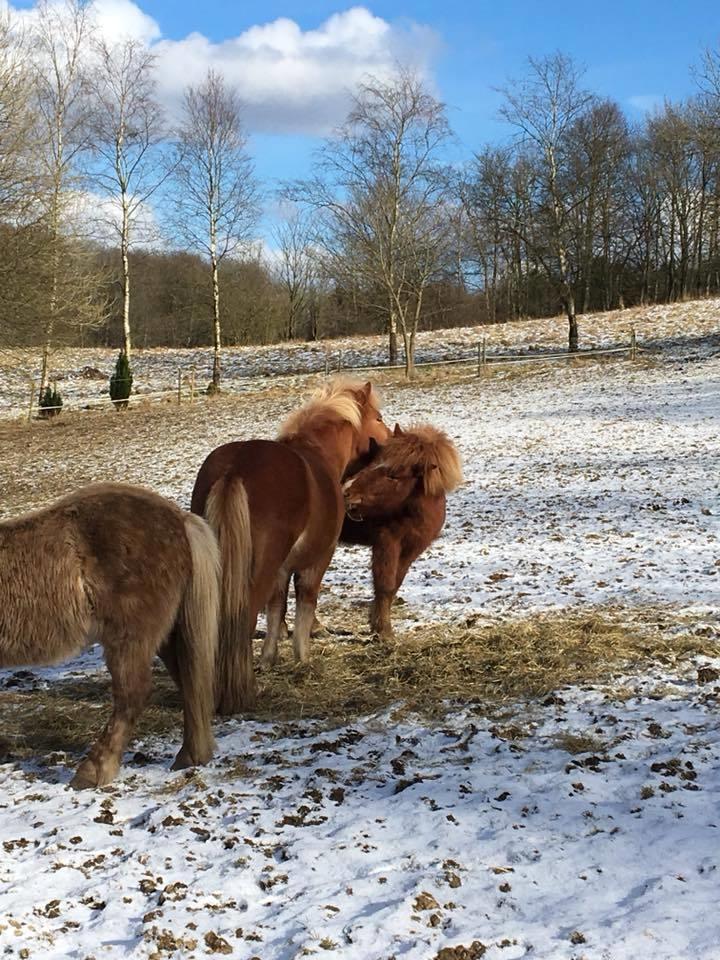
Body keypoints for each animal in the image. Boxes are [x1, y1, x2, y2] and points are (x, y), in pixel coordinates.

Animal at [0, 484, 219, 784]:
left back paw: (94, 770)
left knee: (132, 695)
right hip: (165, 636)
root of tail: (179, 517)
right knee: (189, 682)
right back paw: (190, 756)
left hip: (128, 636)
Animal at [190, 378, 388, 716]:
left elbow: (276, 610)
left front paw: (270, 658)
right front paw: (302, 657)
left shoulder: (280, 571)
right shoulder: (316, 561)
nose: (387, 446)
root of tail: (235, 468)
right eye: (378, 417)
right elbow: (305, 604)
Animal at [342, 426, 464, 636]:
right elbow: (384, 585)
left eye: (393, 475)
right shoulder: (386, 543)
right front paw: (384, 632)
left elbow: (395, 584)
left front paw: (377, 626)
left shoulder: (411, 550)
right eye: (372, 462)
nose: (347, 491)